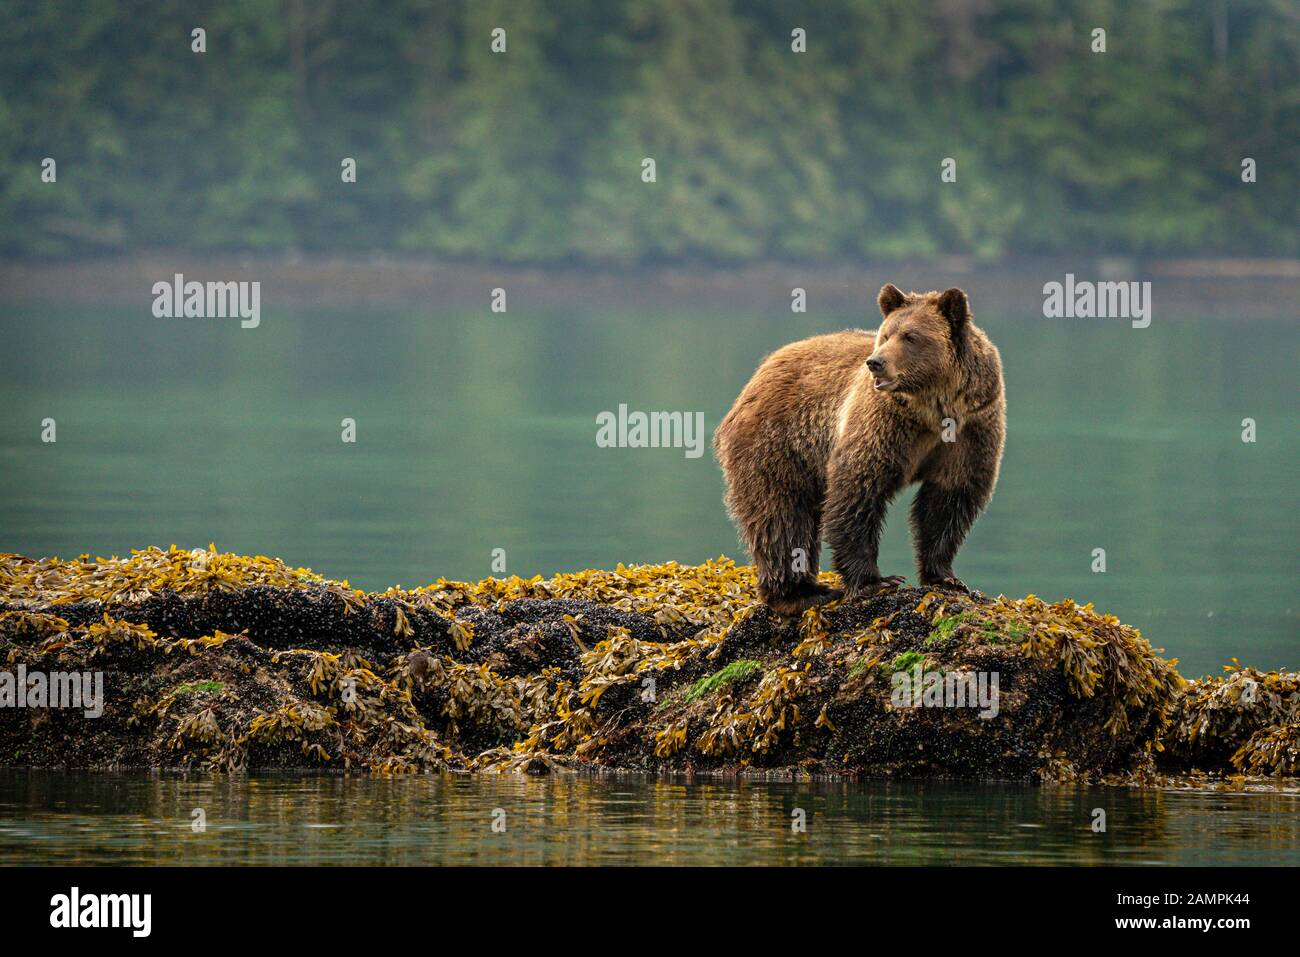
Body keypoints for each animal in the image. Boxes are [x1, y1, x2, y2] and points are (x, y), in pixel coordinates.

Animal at [712, 283, 1003, 616]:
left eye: (911, 336)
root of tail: (758, 375)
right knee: (780, 515)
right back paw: (802, 593)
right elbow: (857, 488)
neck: (932, 409)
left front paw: (946, 577)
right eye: (886, 334)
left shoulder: (973, 424)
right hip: (778, 443)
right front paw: (875, 581)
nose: (876, 362)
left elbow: (950, 498)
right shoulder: (883, 422)